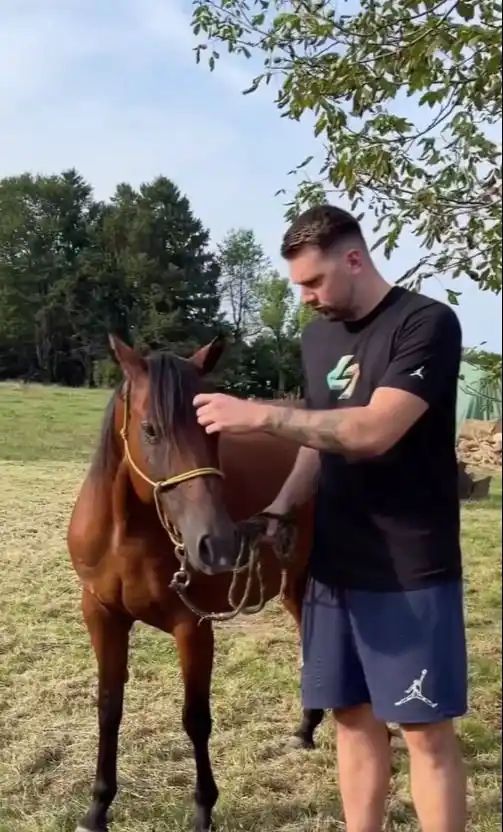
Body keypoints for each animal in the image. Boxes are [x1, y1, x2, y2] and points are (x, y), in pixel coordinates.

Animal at [67, 333, 325, 832]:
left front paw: (204, 807)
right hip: (292, 581)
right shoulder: (102, 615)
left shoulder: (194, 626)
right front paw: (97, 807)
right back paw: (306, 727)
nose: (217, 545)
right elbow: (109, 708)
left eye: (215, 433)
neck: (126, 535)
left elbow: (196, 718)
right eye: (150, 430)